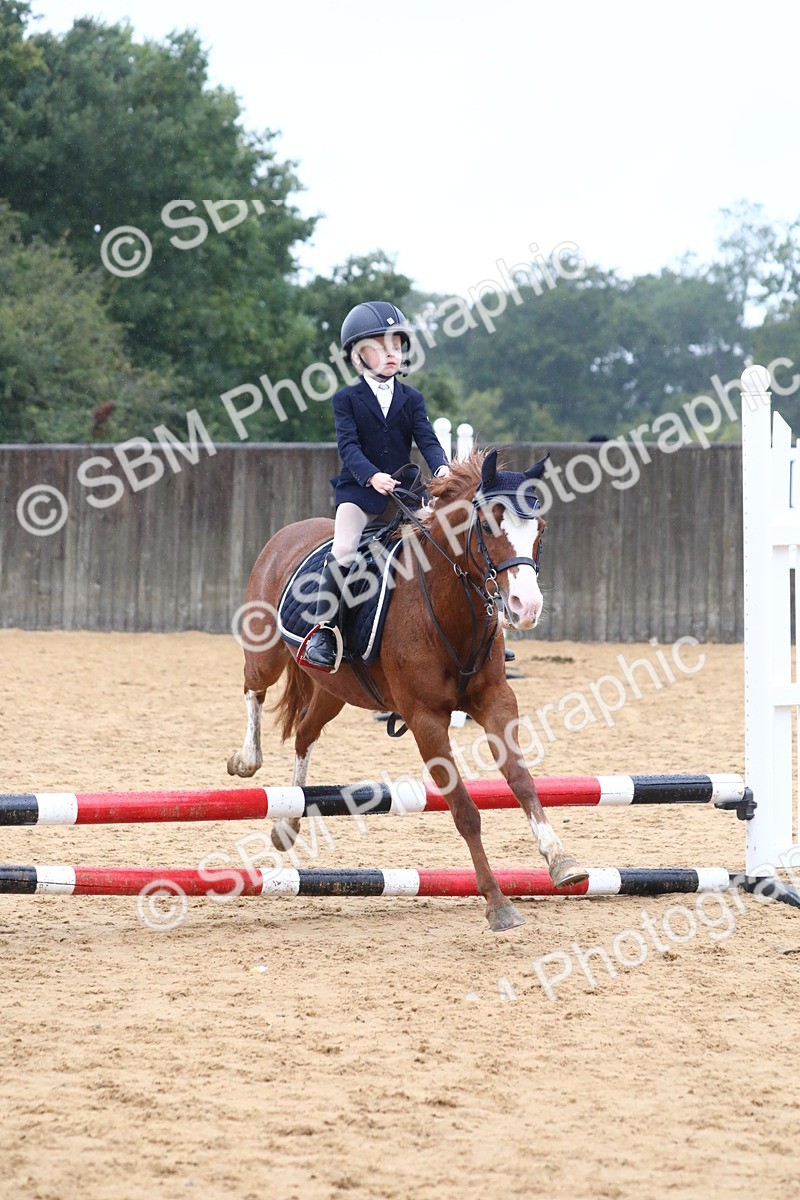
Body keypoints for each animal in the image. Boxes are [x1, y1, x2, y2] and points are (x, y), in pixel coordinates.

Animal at [227, 448, 587, 932]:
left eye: (540, 529)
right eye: (487, 525)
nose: (525, 608)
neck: (448, 604)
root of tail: (290, 531)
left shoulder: (496, 700)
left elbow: (522, 780)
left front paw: (562, 862)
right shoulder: (425, 719)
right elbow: (464, 810)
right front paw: (498, 904)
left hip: (334, 689)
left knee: (305, 732)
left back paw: (287, 824)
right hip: (266, 651)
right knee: (254, 688)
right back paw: (247, 761)